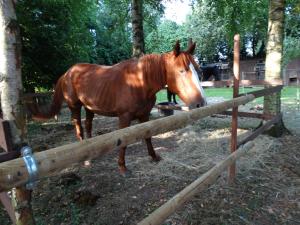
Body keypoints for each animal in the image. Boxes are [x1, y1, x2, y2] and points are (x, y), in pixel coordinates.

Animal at [31, 40, 207, 176]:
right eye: (181, 71)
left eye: (199, 70)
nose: (201, 104)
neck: (140, 82)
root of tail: (67, 73)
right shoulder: (124, 117)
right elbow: (124, 142)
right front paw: (122, 168)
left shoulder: (145, 115)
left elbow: (148, 136)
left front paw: (154, 156)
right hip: (75, 106)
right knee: (79, 128)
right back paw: (86, 160)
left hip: (89, 107)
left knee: (88, 125)